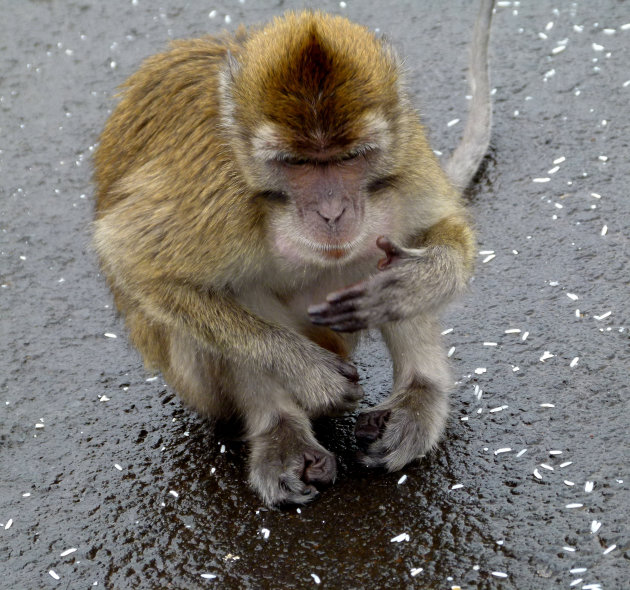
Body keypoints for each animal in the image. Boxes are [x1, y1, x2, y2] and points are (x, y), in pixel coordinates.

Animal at [94, 1, 496, 508]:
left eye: (350, 157)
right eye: (298, 163)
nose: (332, 211)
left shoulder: (405, 157)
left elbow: (439, 227)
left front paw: (414, 282)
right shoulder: (218, 198)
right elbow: (137, 265)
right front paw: (307, 373)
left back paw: (417, 397)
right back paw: (280, 429)